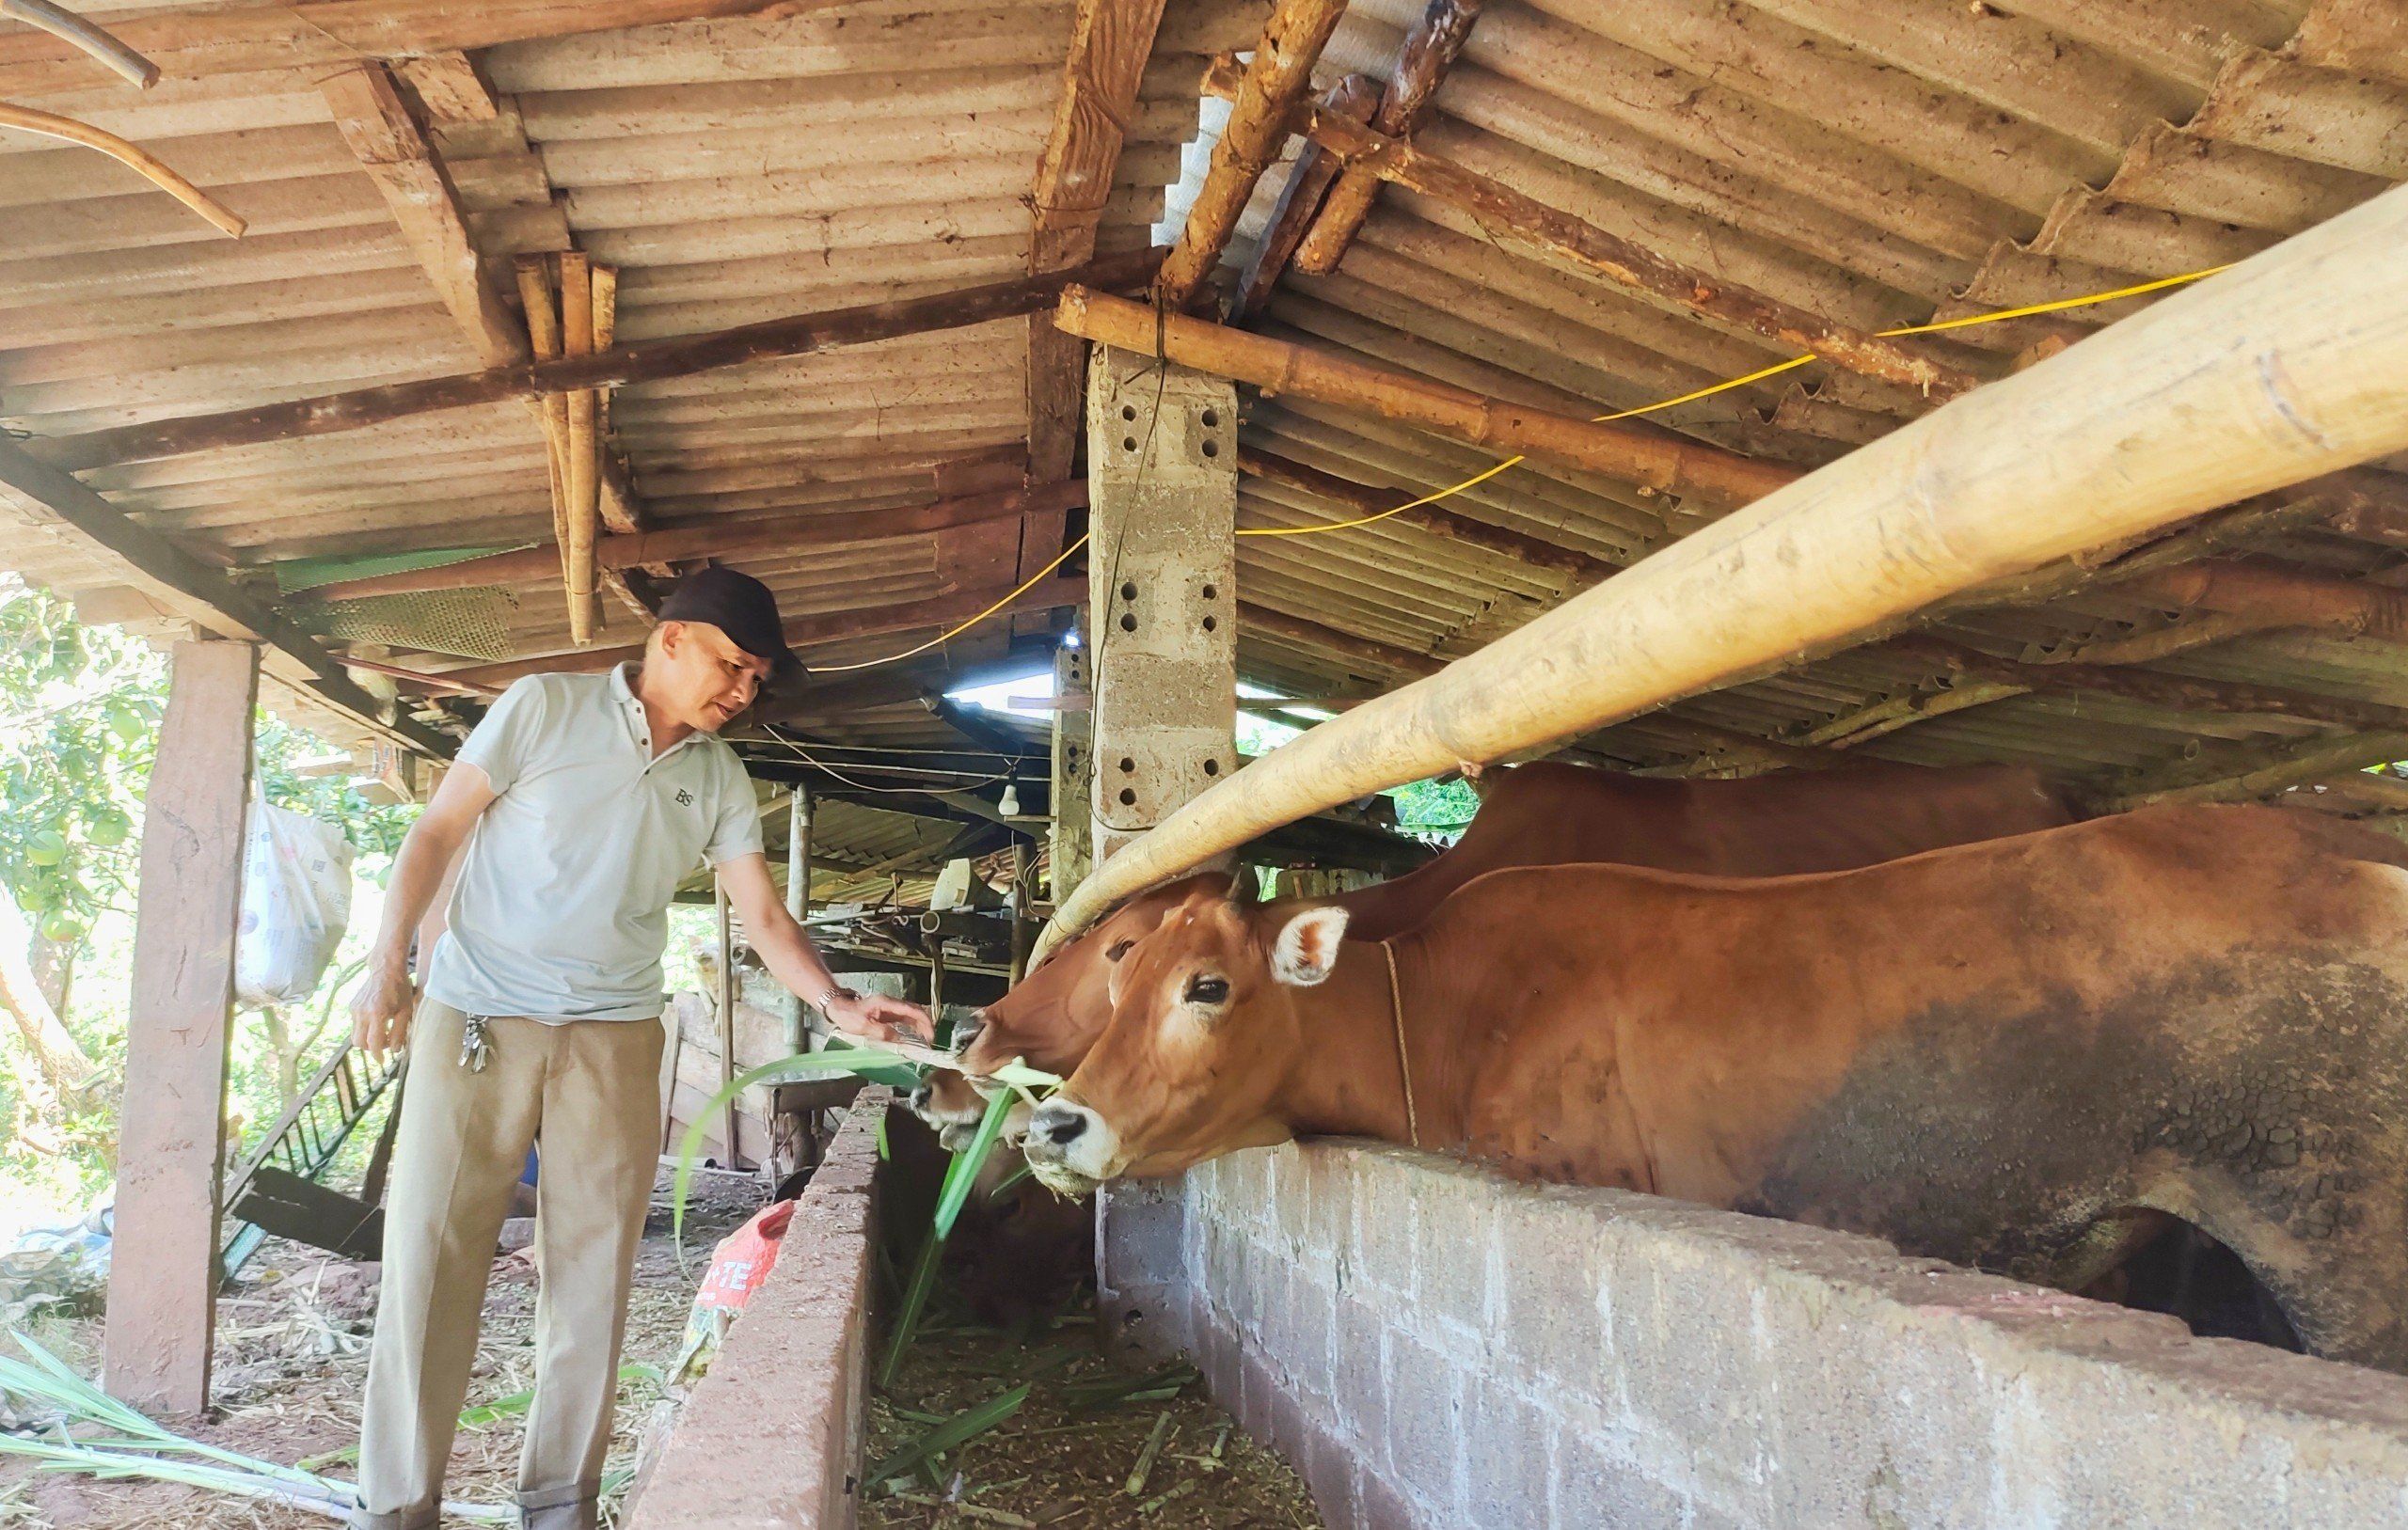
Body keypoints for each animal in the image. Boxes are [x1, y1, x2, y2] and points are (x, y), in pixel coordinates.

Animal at [1025, 808, 2408, 1366]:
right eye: (1119, 962)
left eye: (1205, 983)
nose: (1054, 1119)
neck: (1452, 1010)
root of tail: (2349, 844)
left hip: (2343, 1246)